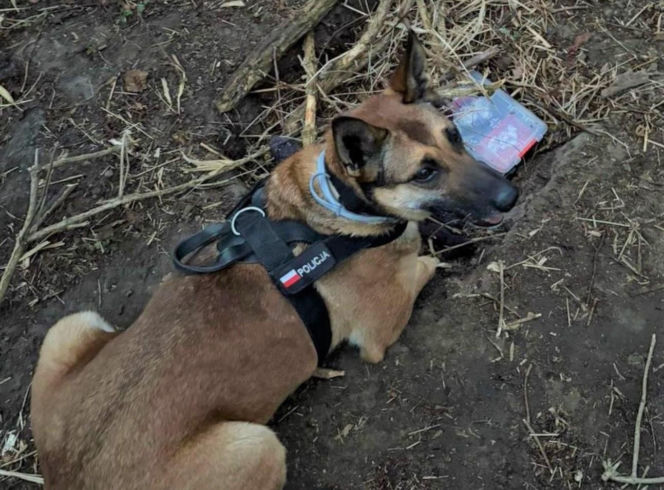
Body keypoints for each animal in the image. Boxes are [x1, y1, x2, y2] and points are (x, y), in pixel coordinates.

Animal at [31, 34, 517, 489]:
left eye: (454, 136)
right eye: (425, 172)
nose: (510, 197)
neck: (337, 198)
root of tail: (68, 478)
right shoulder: (382, 324)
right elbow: (423, 260)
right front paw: (439, 246)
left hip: (70, 326)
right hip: (258, 445)